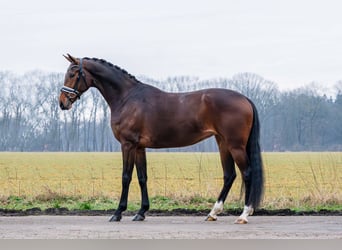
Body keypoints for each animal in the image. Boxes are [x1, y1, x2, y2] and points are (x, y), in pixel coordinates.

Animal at [58, 54, 264, 223]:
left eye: (73, 74)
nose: (62, 103)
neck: (127, 98)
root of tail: (245, 98)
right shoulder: (139, 147)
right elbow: (142, 177)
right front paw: (141, 212)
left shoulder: (128, 145)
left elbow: (126, 177)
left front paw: (118, 213)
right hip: (222, 143)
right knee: (229, 175)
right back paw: (213, 213)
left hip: (235, 145)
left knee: (247, 173)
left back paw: (244, 214)